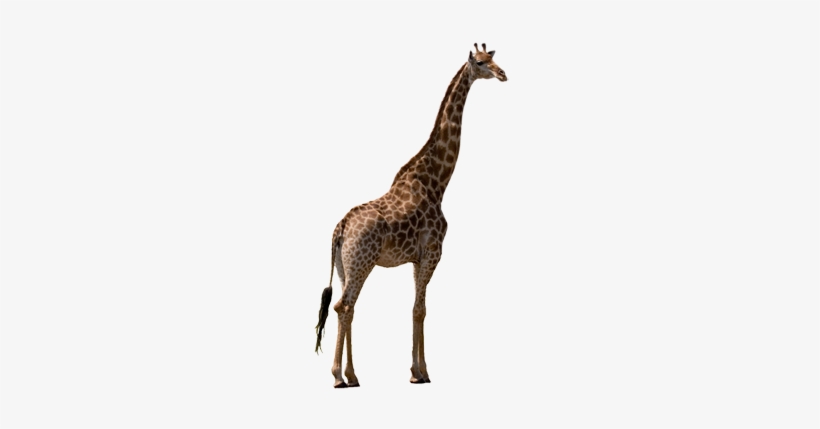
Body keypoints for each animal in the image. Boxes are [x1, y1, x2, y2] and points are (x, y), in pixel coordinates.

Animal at [315, 43, 507, 388]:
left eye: (494, 59)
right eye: (481, 63)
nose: (503, 74)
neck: (438, 181)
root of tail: (340, 229)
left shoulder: (417, 259)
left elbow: (416, 308)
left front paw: (416, 371)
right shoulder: (432, 253)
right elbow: (421, 309)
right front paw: (422, 373)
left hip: (344, 267)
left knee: (348, 308)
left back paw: (353, 374)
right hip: (361, 262)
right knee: (344, 305)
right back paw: (338, 376)